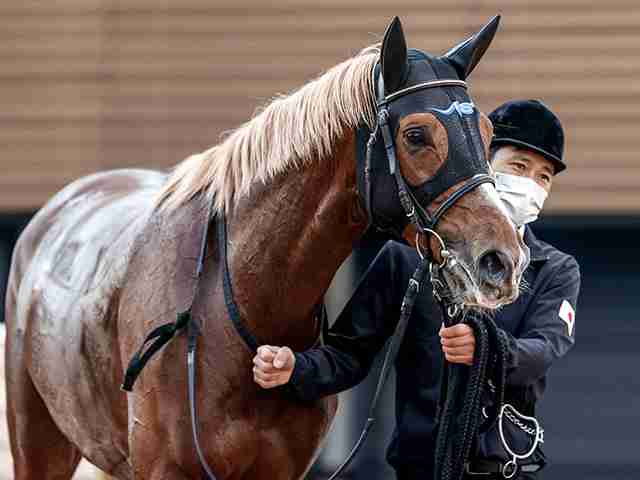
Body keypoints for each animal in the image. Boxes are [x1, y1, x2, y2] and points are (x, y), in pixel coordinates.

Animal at [5, 16, 529, 480]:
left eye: (486, 132)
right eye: (417, 135)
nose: (501, 260)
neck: (235, 314)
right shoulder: (163, 469)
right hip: (39, 443)